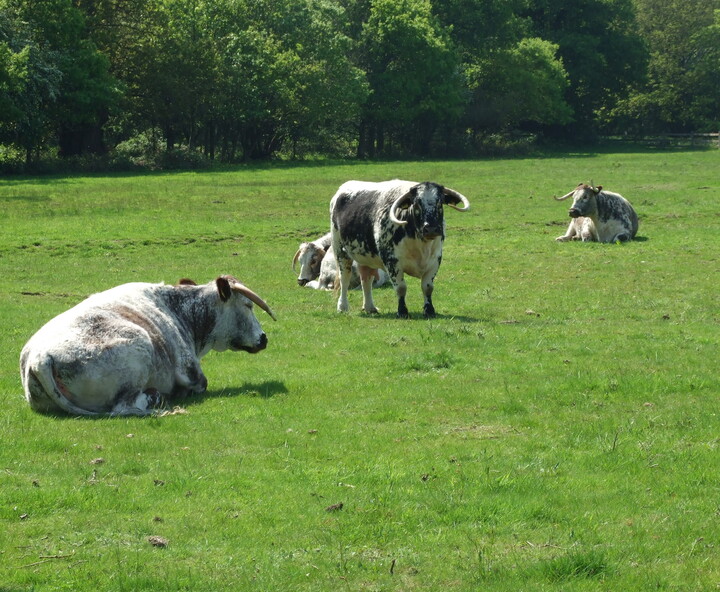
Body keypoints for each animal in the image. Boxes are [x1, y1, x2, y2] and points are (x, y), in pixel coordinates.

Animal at [17, 276, 276, 416]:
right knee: (124, 408)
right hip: (138, 348)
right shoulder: (191, 372)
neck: (181, 312)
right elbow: (199, 384)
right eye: (247, 305)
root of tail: (40, 357)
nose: (263, 338)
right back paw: (155, 399)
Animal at [328, 180, 472, 320]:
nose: (431, 228)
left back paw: (370, 307)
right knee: (344, 279)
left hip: (365, 256)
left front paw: (429, 311)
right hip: (340, 252)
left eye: (440, 203)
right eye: (416, 204)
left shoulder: (435, 260)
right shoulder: (392, 262)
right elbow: (401, 288)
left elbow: (427, 287)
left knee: (366, 280)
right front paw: (402, 311)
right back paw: (342, 307)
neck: (420, 244)